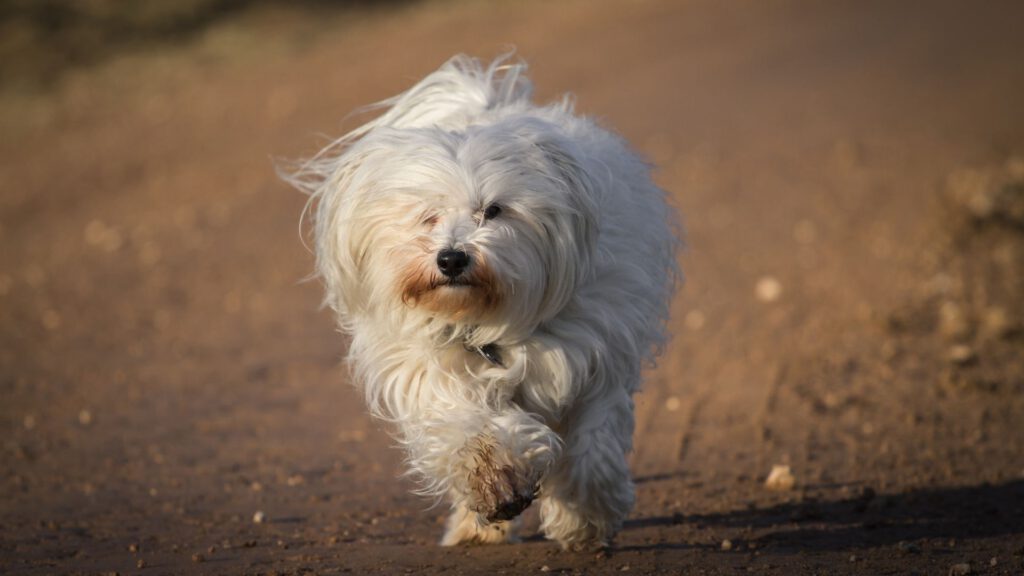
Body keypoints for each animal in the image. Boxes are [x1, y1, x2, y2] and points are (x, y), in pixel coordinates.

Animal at [286, 56, 679, 549]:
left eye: (493, 210)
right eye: (427, 215)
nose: (452, 258)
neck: (486, 317)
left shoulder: (596, 358)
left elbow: (591, 449)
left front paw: (584, 521)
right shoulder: (433, 365)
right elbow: (468, 425)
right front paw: (496, 480)